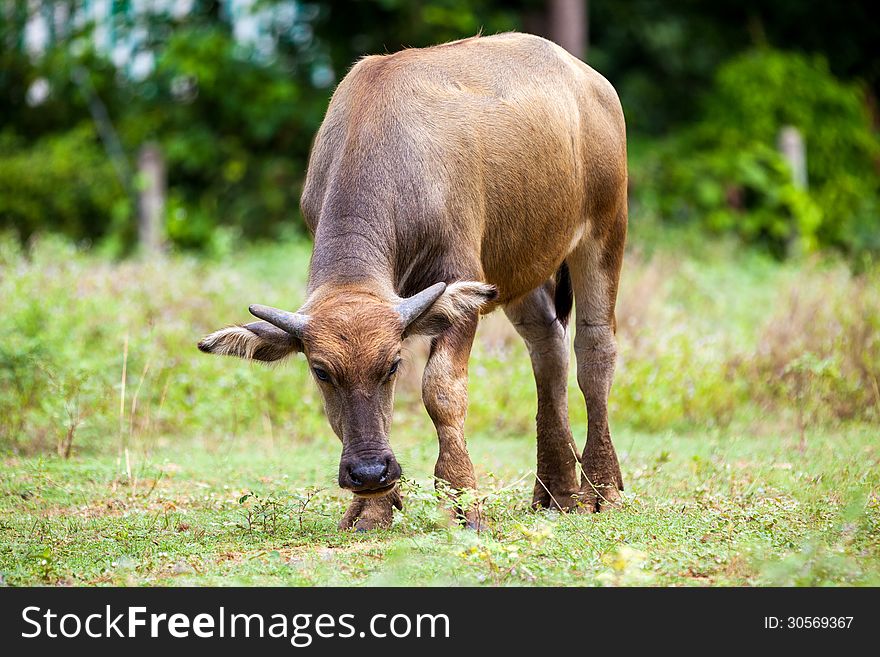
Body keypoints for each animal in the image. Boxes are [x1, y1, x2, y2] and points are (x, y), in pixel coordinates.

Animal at [199, 33, 624, 532]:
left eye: (392, 366)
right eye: (320, 372)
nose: (367, 471)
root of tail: (591, 81)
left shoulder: (460, 278)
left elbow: (441, 391)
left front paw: (462, 502)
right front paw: (372, 508)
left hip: (605, 228)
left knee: (594, 349)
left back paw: (602, 490)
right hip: (523, 267)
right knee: (548, 349)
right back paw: (557, 491)